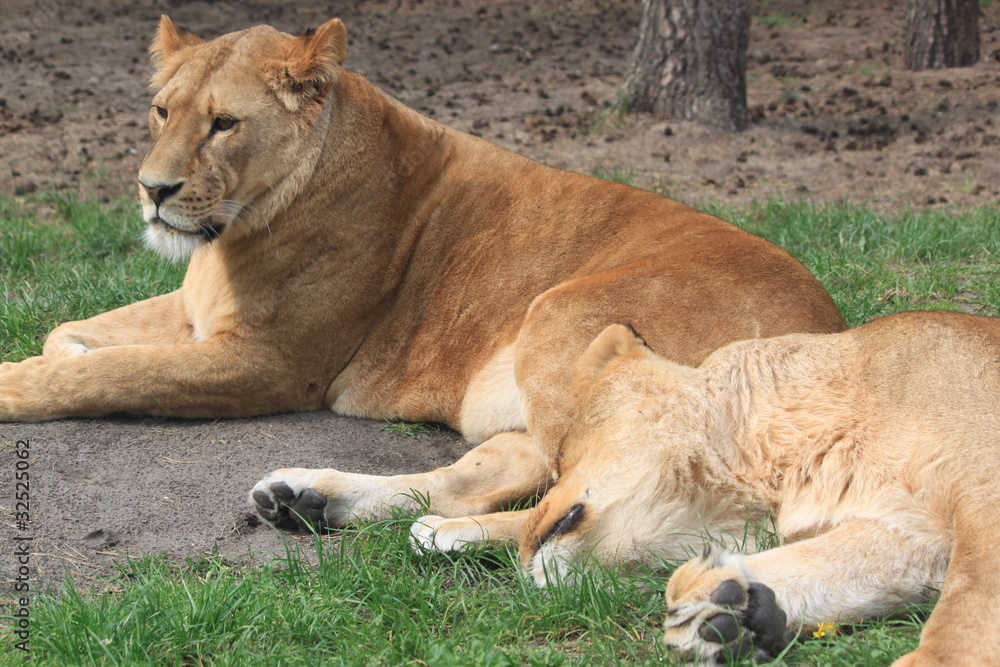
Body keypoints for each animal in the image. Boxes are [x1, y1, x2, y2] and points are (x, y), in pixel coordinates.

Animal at [0, 17, 842, 530]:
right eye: (160, 111)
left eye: (225, 123)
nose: (153, 190)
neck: (228, 235)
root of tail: (837, 341)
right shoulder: (193, 313)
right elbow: (72, 334)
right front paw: (66, 348)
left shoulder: (270, 364)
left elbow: (117, 374)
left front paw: (19, 383)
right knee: (503, 465)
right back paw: (308, 498)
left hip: (563, 312)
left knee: (562, 479)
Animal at [410, 312, 1000, 666]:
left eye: (562, 456)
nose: (526, 557)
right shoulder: (909, 532)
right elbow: (845, 566)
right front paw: (725, 613)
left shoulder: (983, 499)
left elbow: (968, 601)